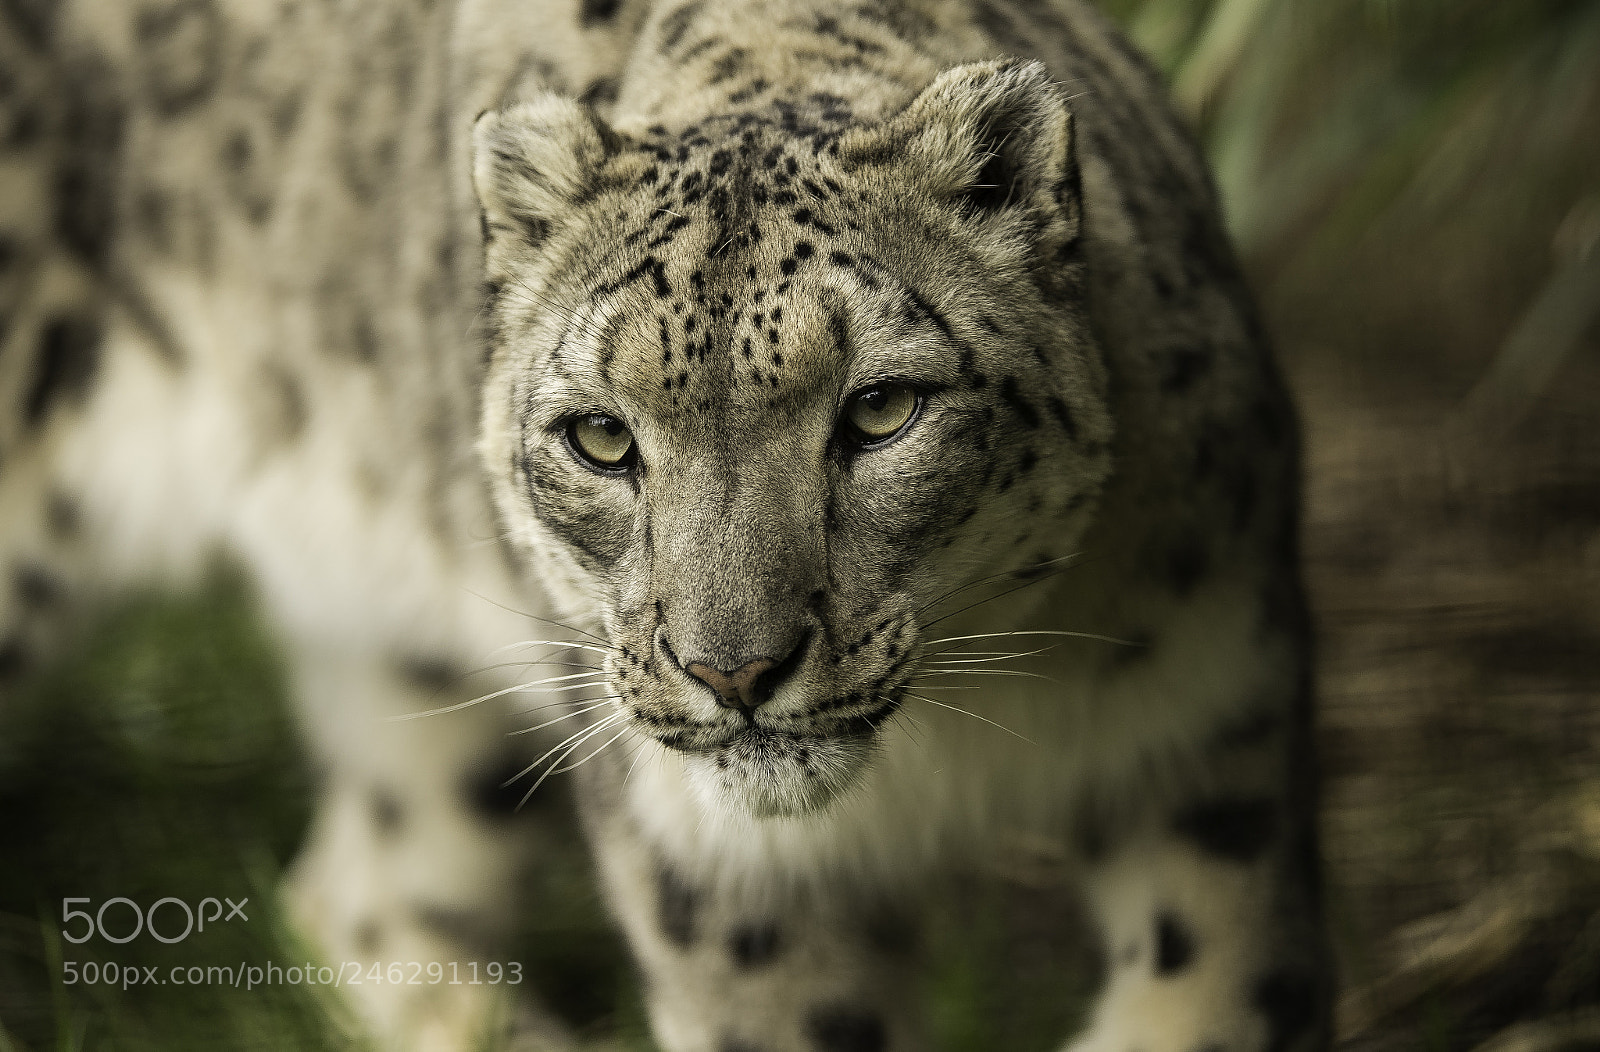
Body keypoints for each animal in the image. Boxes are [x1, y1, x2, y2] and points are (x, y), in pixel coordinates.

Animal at [0, 0, 1331, 1049]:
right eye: (600, 436)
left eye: (881, 409)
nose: (731, 670)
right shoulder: (718, 873)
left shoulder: (1212, 733)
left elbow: (1213, 993)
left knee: (360, 887)